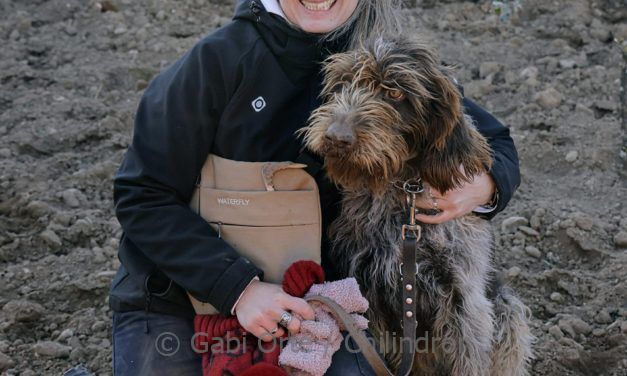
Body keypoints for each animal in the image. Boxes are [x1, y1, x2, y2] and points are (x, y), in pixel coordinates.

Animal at [296, 36, 532, 376]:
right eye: (342, 84)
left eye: (395, 93)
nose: (336, 137)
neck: (403, 194)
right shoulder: (370, 291)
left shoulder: (463, 299)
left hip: (507, 312)